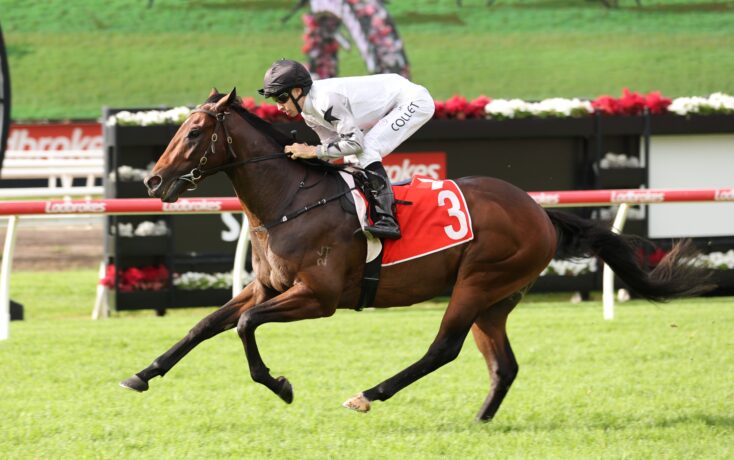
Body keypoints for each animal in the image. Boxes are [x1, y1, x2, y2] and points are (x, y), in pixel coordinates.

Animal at [121, 88, 713, 422]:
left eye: (195, 131)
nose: (152, 181)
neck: (292, 200)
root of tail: (540, 212)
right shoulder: (266, 285)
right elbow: (204, 326)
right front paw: (141, 375)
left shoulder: (318, 297)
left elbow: (244, 326)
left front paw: (281, 387)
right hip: (495, 300)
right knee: (503, 364)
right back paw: (480, 421)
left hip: (477, 283)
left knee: (442, 349)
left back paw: (368, 395)